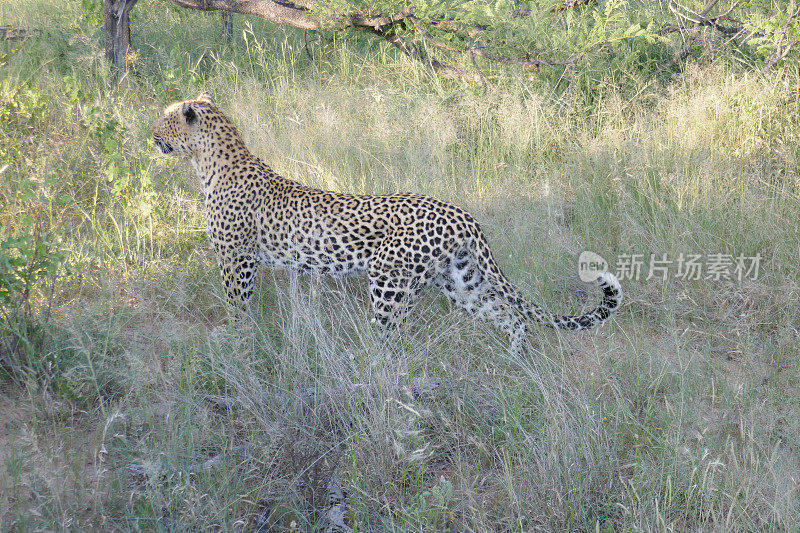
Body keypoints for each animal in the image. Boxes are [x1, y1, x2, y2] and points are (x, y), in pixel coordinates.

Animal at [152, 92, 624, 354]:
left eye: (162, 120)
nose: (149, 135)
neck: (208, 164)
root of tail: (459, 212)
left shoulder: (237, 259)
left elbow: (237, 304)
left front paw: (235, 340)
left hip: (389, 283)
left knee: (392, 339)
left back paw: (371, 374)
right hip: (460, 282)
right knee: (511, 316)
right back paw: (516, 362)